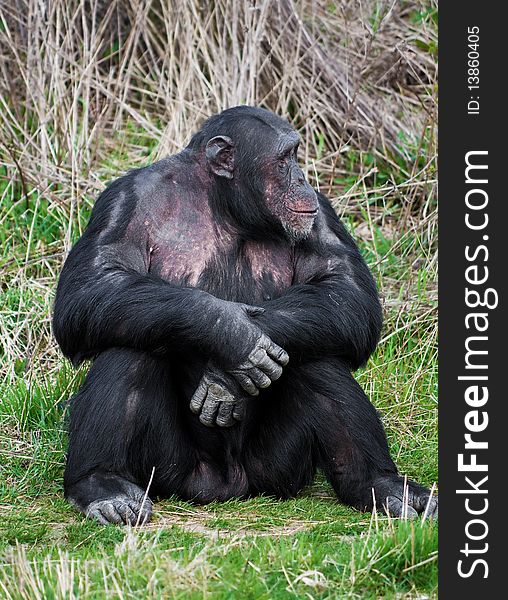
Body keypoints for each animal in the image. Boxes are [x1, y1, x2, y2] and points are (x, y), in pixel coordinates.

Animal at [53, 105, 438, 524]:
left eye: (295, 155)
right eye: (284, 159)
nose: (302, 177)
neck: (224, 206)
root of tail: (227, 485)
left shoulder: (319, 214)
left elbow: (346, 291)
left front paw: (227, 375)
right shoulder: (124, 202)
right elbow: (91, 288)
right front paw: (231, 334)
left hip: (277, 471)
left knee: (318, 354)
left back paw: (380, 484)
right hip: (170, 470)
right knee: (128, 344)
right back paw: (103, 485)